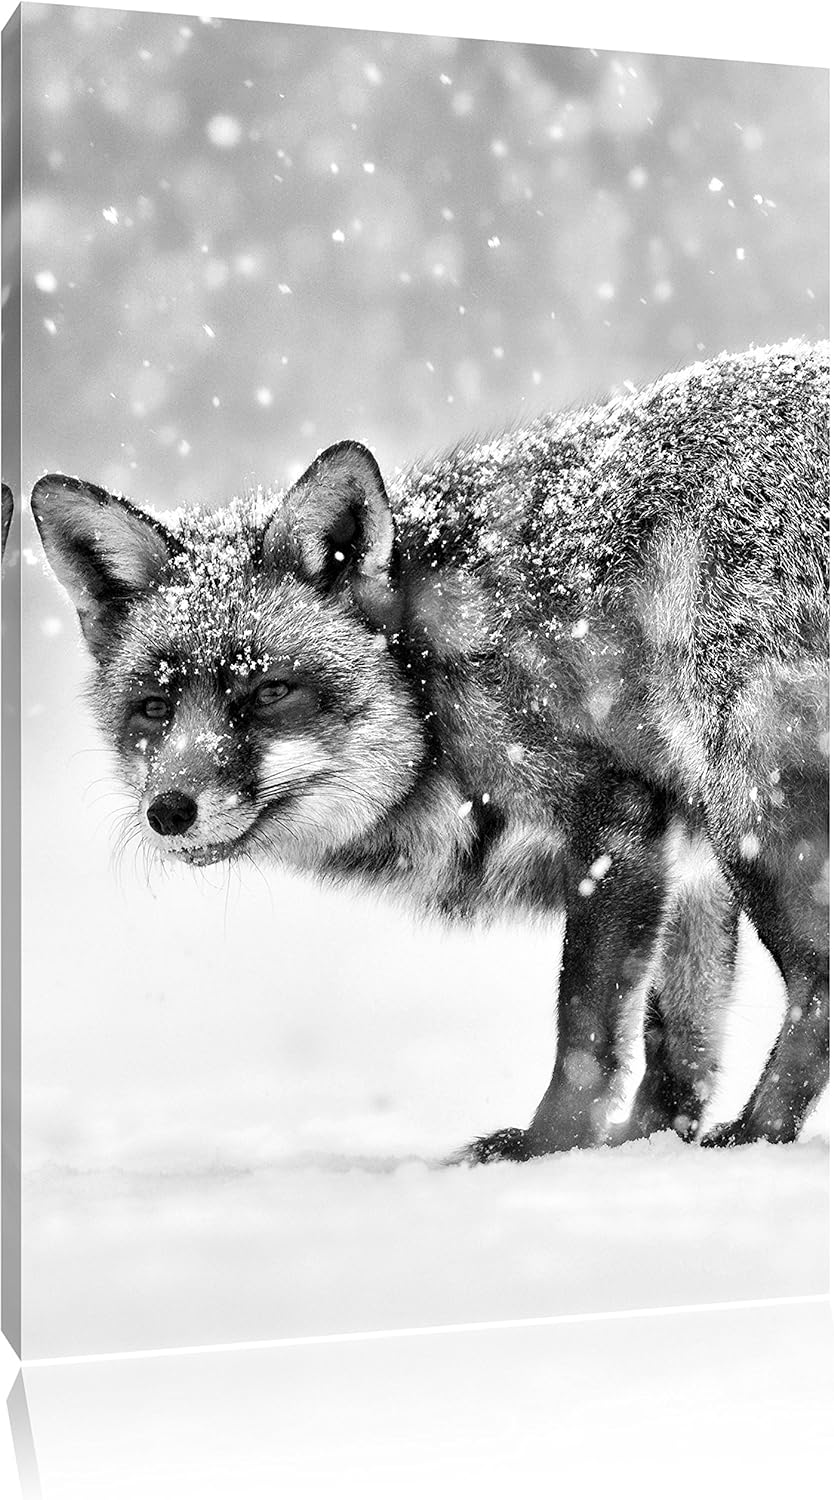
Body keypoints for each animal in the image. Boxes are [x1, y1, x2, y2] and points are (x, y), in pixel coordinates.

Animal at [29, 340, 829, 1162]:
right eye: (154, 708)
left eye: (270, 691)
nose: (169, 810)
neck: (433, 678)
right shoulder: (684, 857)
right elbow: (680, 1037)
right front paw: (643, 1149)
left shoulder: (616, 825)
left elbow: (586, 1030)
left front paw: (547, 1151)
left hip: (747, 807)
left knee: (818, 982)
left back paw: (759, 1138)